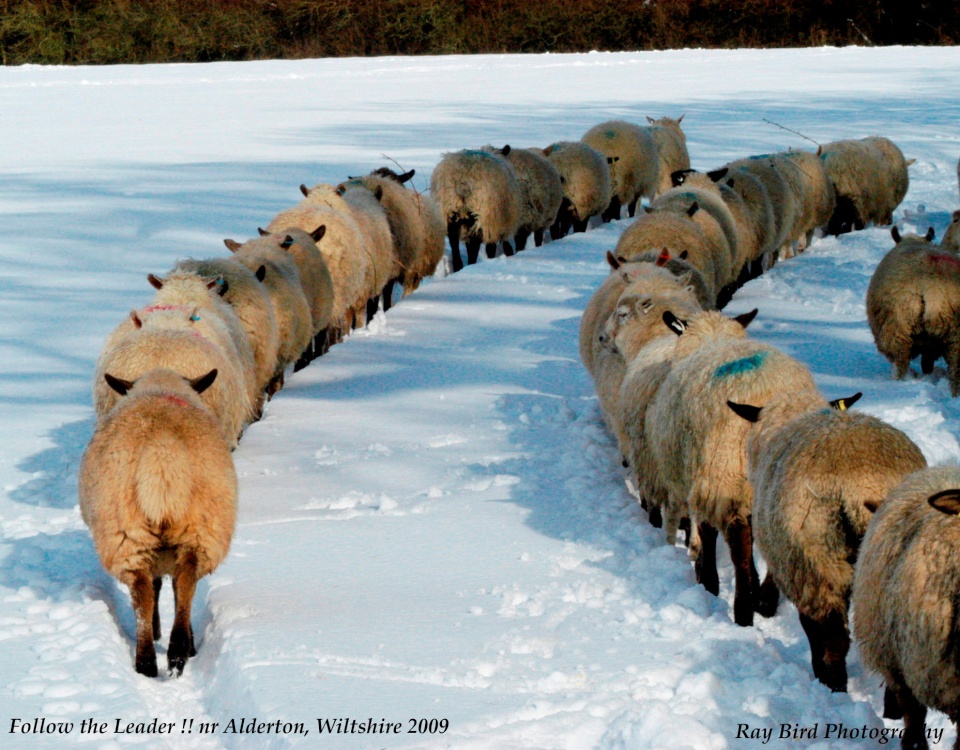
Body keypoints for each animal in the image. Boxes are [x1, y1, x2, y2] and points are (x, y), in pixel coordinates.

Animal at [79, 367, 236, 677]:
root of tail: (162, 453)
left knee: (147, 590)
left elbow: (158, 587)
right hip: (194, 531)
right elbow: (167, 587)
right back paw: (173, 654)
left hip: (132, 534)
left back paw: (154, 659)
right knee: (181, 584)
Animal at [647, 311, 817, 626]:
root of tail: (766, 398)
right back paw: (765, 600)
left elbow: (708, 534)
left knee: (738, 548)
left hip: (725, 472)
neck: (713, 339)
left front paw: (708, 579)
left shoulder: (708, 479)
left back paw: (742, 609)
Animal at [728, 389, 927, 692]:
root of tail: (862, 483)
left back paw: (834, 685)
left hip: (820, 556)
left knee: (834, 636)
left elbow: (812, 628)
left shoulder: (798, 563)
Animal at [865, 227, 960, 394]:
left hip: (898, 327)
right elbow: (927, 363)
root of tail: (932, 287)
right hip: (955, 335)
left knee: (900, 363)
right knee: (955, 370)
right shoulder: (931, 344)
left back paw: (897, 383)